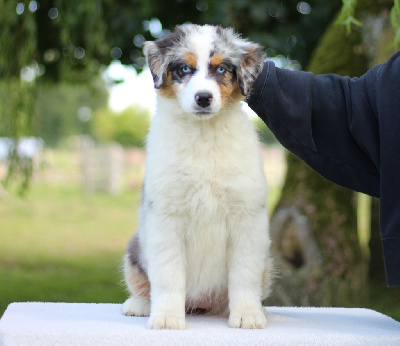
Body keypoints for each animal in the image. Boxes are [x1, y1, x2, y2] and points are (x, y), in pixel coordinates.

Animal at [122, 23, 272, 330]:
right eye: (184, 69)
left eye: (222, 69)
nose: (203, 98)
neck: (203, 136)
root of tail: (201, 304)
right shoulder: (165, 215)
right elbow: (168, 275)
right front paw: (167, 318)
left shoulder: (247, 217)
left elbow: (244, 274)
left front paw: (248, 315)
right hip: (135, 248)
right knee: (142, 281)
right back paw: (139, 305)